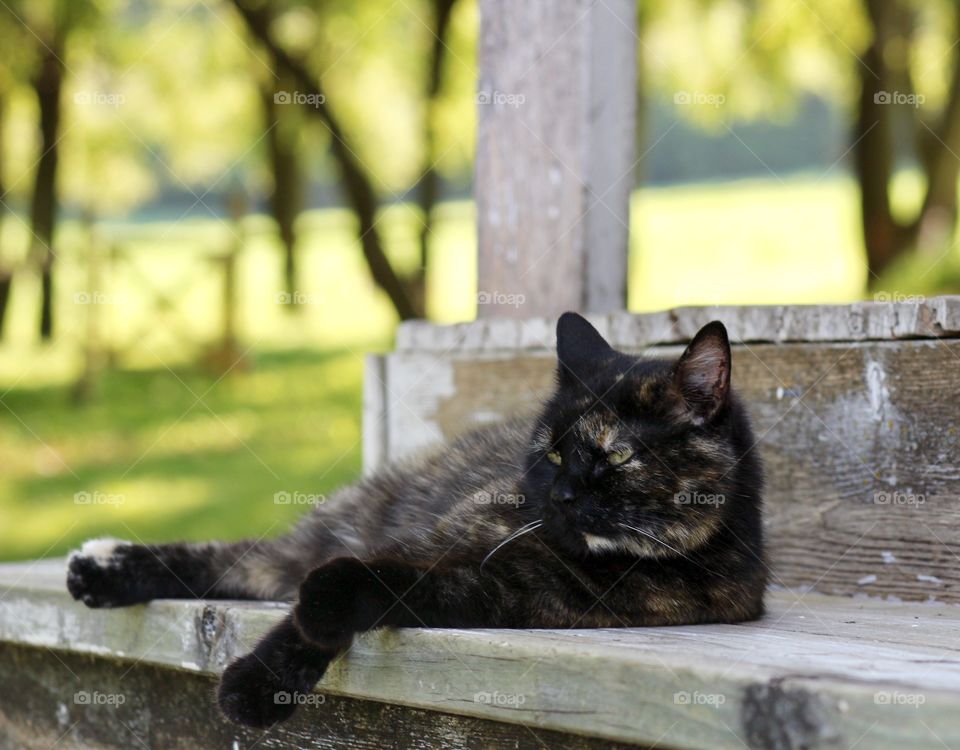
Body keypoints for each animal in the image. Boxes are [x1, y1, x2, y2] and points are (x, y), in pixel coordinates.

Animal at [63, 312, 764, 728]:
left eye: (617, 455)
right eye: (552, 451)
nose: (560, 496)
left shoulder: (498, 592)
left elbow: (371, 585)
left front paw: (274, 667)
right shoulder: (435, 538)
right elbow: (321, 600)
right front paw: (260, 681)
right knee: (240, 559)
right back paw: (100, 568)